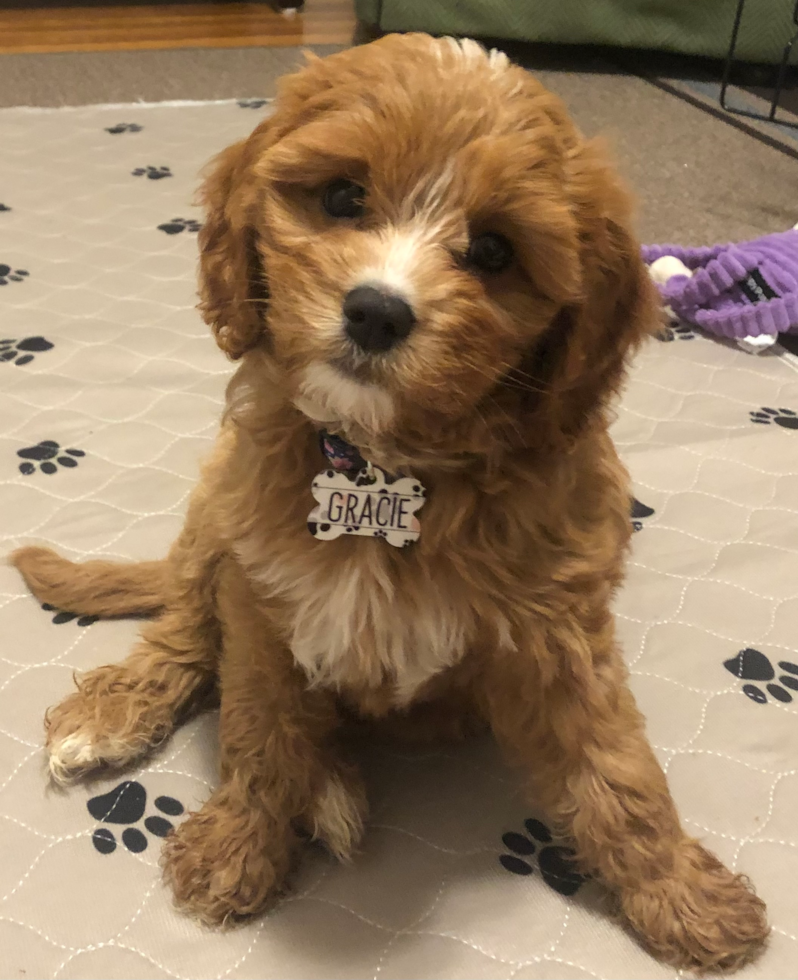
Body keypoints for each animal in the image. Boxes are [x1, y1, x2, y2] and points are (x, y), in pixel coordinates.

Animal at [10, 32, 768, 972]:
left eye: (493, 251)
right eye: (342, 196)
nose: (375, 311)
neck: (379, 461)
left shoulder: (558, 631)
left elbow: (618, 766)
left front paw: (684, 894)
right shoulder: (262, 595)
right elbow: (258, 727)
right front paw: (239, 846)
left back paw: (330, 781)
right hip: (214, 511)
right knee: (184, 623)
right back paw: (120, 711)